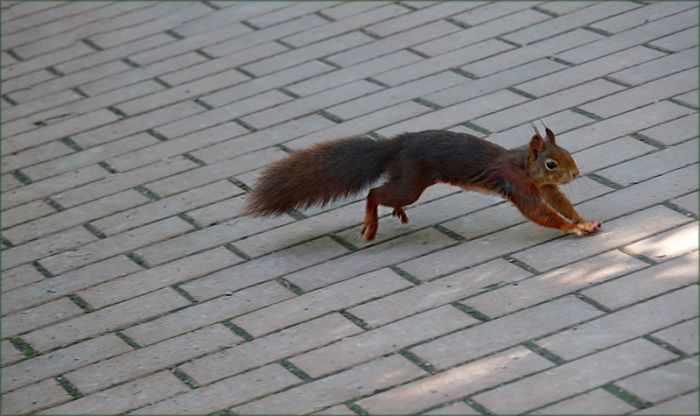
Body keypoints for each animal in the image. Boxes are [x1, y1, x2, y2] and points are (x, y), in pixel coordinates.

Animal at [245, 125, 602, 241]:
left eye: (567, 154)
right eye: (551, 163)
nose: (576, 174)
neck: (522, 165)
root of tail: (395, 145)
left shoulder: (544, 188)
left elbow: (560, 204)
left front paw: (583, 219)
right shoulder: (517, 184)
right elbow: (541, 213)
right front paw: (577, 229)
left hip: (408, 180)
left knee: (385, 193)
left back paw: (396, 213)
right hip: (411, 183)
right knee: (375, 192)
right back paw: (372, 222)